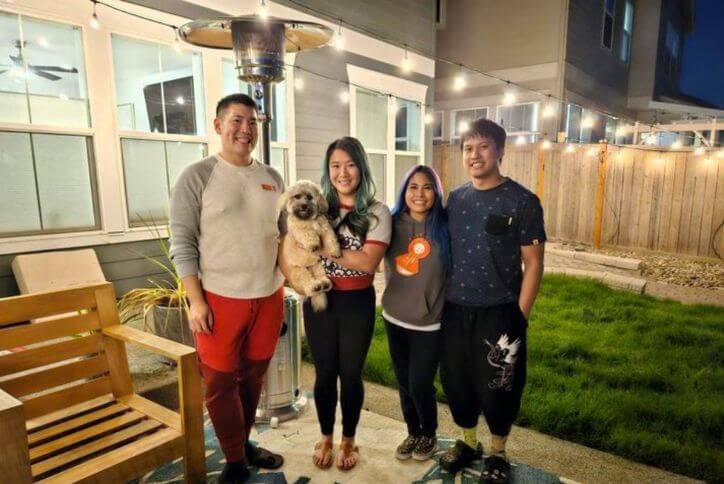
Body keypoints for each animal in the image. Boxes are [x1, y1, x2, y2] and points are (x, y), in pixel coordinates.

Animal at [280, 181, 342, 310]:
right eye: (297, 196)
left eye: (309, 197)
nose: (304, 206)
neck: (309, 220)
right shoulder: (300, 230)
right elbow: (309, 234)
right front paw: (314, 244)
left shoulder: (326, 229)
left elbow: (331, 240)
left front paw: (335, 251)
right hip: (299, 271)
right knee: (307, 284)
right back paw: (315, 286)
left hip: (318, 266)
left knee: (321, 278)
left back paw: (324, 284)